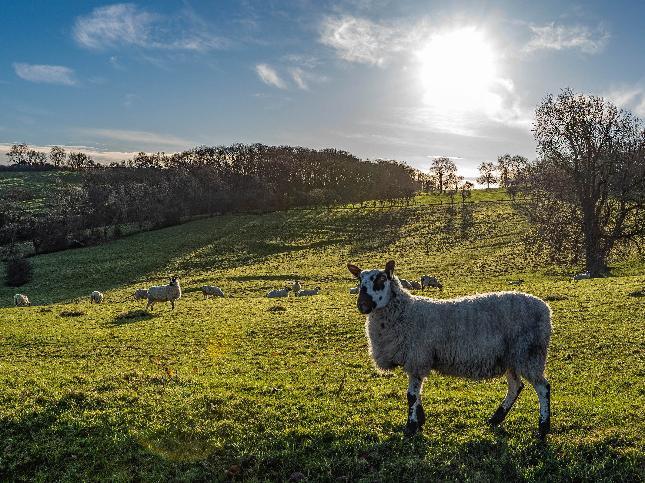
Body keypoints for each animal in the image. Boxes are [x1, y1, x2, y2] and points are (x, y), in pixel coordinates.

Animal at [350, 260, 552, 442]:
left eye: (381, 279)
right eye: (359, 280)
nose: (362, 305)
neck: (406, 312)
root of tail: (546, 309)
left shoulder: (418, 357)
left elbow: (411, 396)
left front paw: (411, 427)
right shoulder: (417, 360)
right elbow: (417, 394)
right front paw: (420, 420)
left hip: (529, 353)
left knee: (543, 388)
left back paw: (542, 429)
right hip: (511, 357)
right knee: (515, 387)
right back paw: (495, 419)